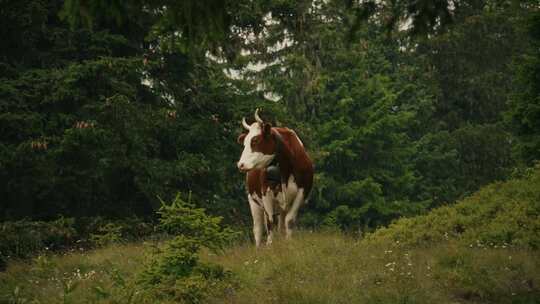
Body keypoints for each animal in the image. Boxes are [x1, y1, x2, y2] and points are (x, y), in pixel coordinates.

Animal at [235, 109, 312, 247]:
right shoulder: (266, 193)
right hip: (253, 200)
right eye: (244, 143)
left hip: (282, 206)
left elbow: (289, 220)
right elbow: (270, 222)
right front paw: (269, 245)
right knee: (258, 228)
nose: (241, 164)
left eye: (255, 140)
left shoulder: (302, 192)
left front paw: (288, 242)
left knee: (281, 223)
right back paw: (259, 247)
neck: (286, 167)